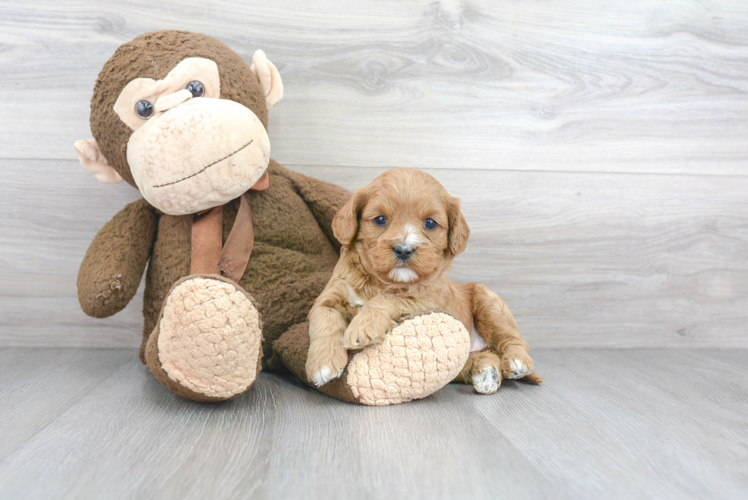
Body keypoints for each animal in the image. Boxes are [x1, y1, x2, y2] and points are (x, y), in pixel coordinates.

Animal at [306, 169, 544, 394]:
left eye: (430, 223)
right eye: (380, 219)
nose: (404, 249)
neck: (382, 282)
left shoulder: (429, 301)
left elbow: (386, 299)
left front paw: (361, 327)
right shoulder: (333, 293)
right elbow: (323, 319)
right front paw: (322, 364)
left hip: (490, 303)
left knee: (513, 339)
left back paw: (517, 362)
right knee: (472, 362)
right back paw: (486, 373)